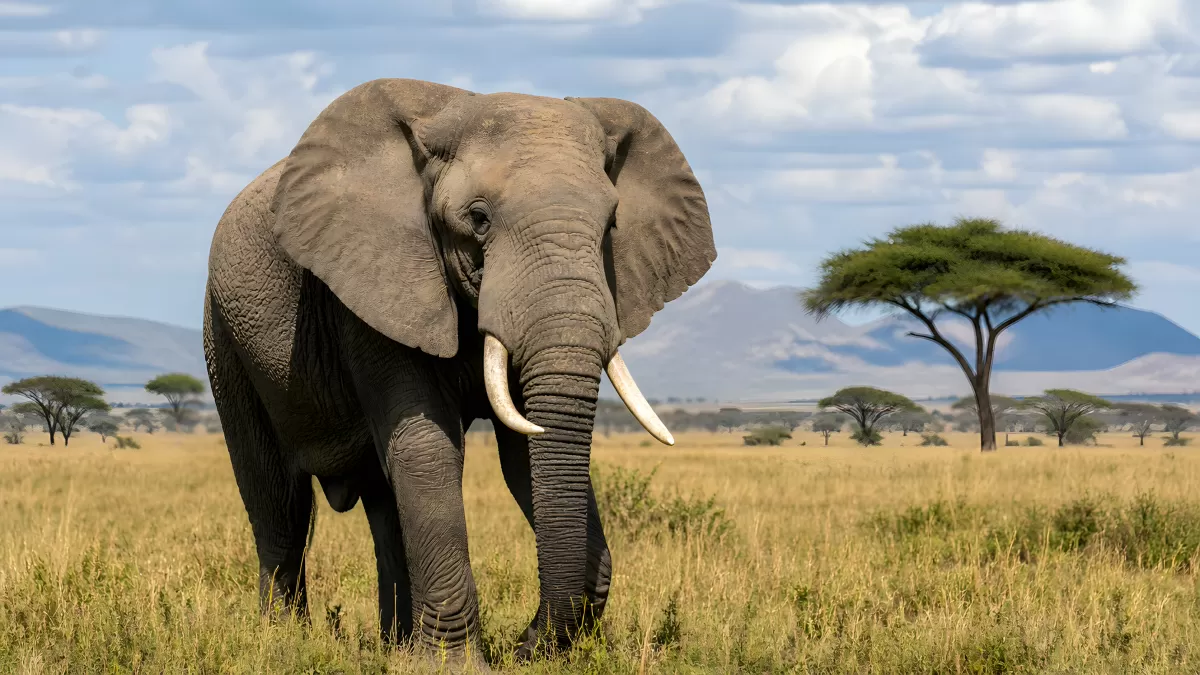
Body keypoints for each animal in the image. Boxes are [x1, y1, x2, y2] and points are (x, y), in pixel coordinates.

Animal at [201, 77, 716, 663]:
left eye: (610, 223)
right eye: (478, 218)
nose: (524, 645)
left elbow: (522, 456)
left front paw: (473, 654)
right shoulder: (375, 285)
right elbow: (427, 445)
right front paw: (458, 664)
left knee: (383, 507)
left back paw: (396, 647)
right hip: (225, 336)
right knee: (278, 503)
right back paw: (285, 642)